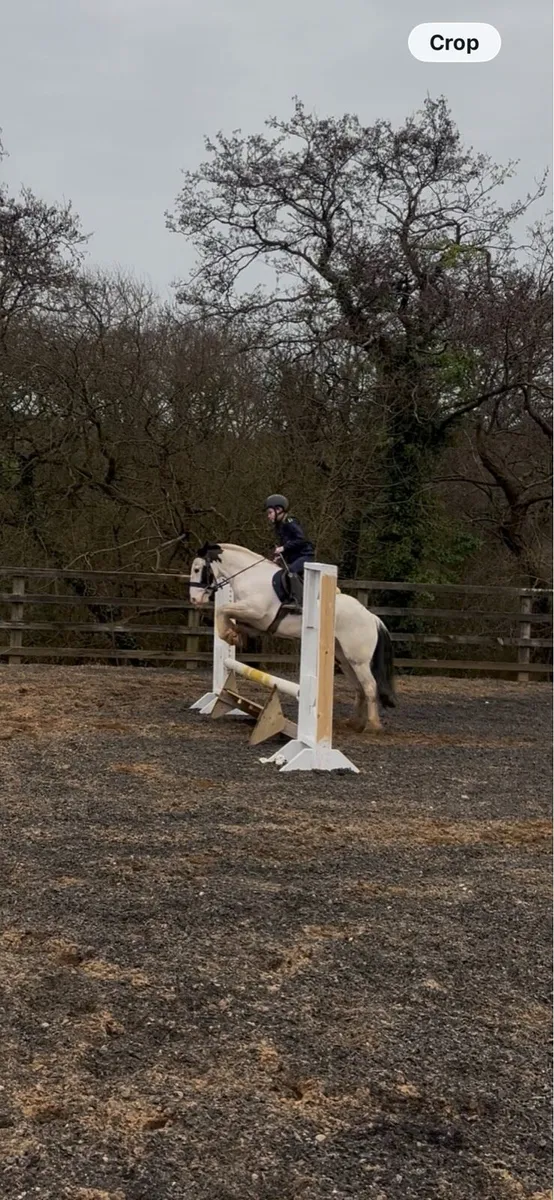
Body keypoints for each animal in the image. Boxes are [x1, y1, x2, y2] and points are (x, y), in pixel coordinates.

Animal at [188, 542, 396, 732]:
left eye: (197, 569)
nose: (194, 600)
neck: (249, 576)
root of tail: (372, 617)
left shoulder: (256, 611)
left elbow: (223, 610)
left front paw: (230, 635)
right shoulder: (255, 621)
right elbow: (230, 618)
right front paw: (233, 636)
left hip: (358, 660)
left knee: (370, 686)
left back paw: (373, 726)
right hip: (344, 658)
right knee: (359, 687)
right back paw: (355, 723)